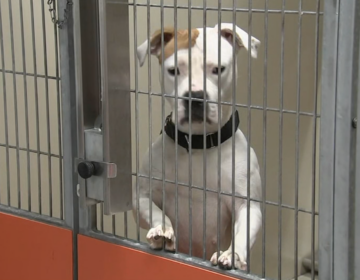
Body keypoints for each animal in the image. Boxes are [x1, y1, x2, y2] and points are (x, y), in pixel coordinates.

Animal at [133, 24, 262, 272]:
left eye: (218, 69)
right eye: (173, 70)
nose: (195, 97)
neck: (198, 143)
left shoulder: (247, 205)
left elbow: (241, 235)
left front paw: (232, 255)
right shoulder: (142, 197)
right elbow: (156, 212)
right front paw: (162, 231)